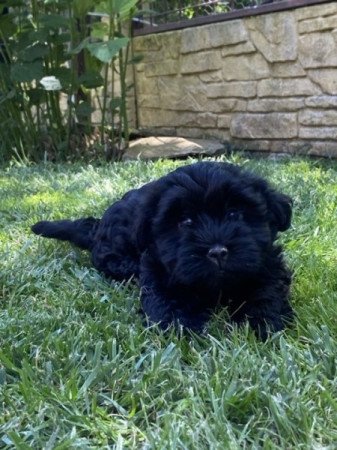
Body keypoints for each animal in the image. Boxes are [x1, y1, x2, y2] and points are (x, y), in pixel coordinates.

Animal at [32, 162, 292, 338]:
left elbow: (265, 291)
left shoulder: (264, 263)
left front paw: (262, 322)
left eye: (234, 214)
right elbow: (168, 300)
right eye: (185, 221)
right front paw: (179, 328)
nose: (218, 252)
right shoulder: (159, 270)